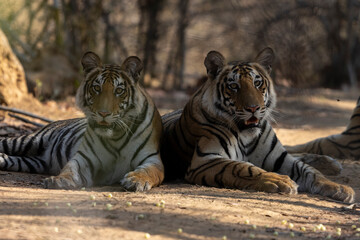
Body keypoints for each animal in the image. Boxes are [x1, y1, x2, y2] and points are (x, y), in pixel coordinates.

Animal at [0, 51, 163, 190]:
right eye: (97, 88)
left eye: (119, 90)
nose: (103, 113)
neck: (116, 136)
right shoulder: (85, 158)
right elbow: (70, 168)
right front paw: (59, 180)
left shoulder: (153, 160)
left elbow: (148, 171)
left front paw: (136, 180)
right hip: (29, 140)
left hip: (36, 162)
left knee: (11, 159)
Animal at [160, 47, 354, 203]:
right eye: (234, 86)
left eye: (257, 83)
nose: (253, 108)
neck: (246, 135)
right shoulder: (204, 160)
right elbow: (243, 167)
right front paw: (279, 180)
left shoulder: (280, 157)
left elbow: (309, 171)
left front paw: (339, 188)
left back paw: (330, 163)